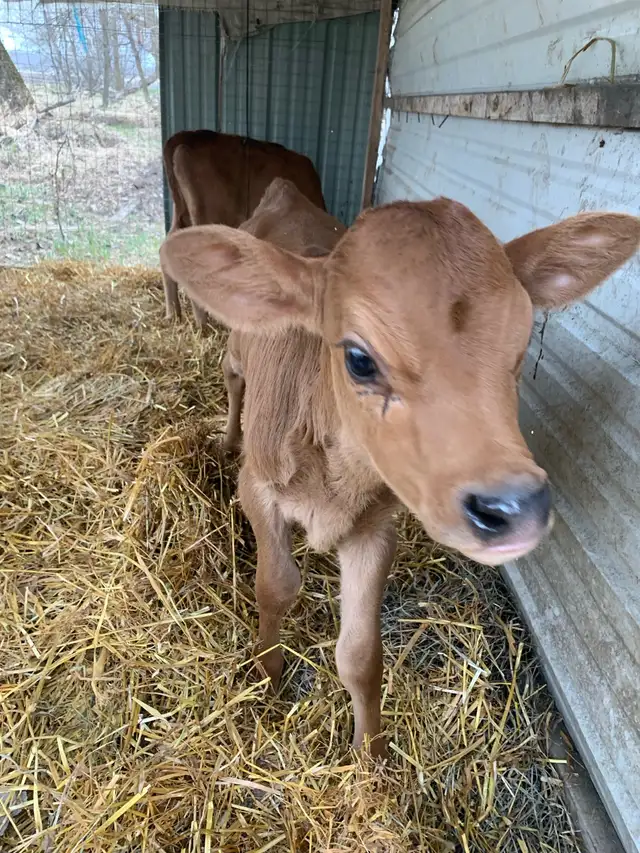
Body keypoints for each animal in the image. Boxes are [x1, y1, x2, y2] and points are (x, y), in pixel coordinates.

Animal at [160, 180, 640, 756]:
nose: (514, 507)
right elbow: (276, 588)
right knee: (232, 377)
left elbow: (361, 654)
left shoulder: (375, 529)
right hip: (236, 346)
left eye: (522, 344)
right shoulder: (259, 490)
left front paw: (370, 755)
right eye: (359, 359)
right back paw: (228, 439)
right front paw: (268, 677)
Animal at [161, 130, 327, 329]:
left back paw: (173, 314)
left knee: (167, 244)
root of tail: (182, 137)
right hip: (204, 212)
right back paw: (203, 324)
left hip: (181, 211)